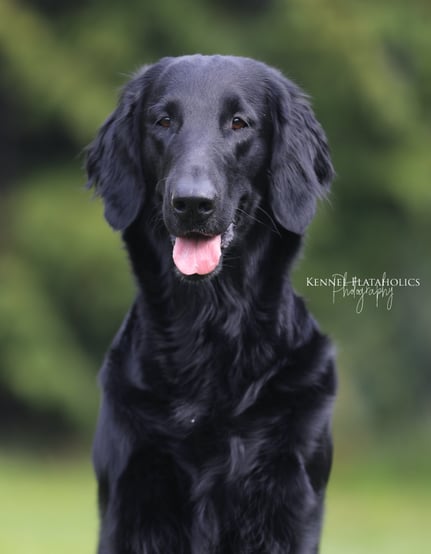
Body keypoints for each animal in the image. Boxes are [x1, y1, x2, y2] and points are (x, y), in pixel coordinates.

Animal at [86, 54, 336, 554]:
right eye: (163, 121)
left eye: (239, 123)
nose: (191, 202)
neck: (208, 327)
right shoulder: (129, 498)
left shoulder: (291, 501)